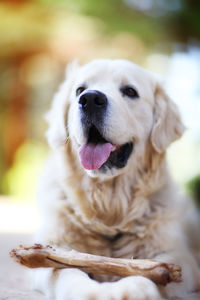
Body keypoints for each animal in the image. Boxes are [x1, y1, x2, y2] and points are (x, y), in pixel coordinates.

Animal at [32, 59, 200, 300]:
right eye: (79, 90)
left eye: (130, 91)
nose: (90, 100)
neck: (109, 209)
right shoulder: (54, 247)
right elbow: (65, 268)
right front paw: (87, 291)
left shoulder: (177, 257)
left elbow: (152, 270)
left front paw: (132, 289)